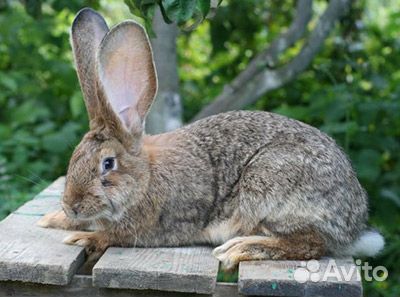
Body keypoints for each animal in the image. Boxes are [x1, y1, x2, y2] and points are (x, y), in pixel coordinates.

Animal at [37, 8, 384, 268]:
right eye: (75, 158)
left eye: (108, 164)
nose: (72, 206)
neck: (145, 177)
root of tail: (354, 226)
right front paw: (52, 219)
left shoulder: (151, 226)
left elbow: (114, 236)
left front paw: (85, 237)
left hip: (270, 184)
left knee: (312, 244)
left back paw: (240, 248)